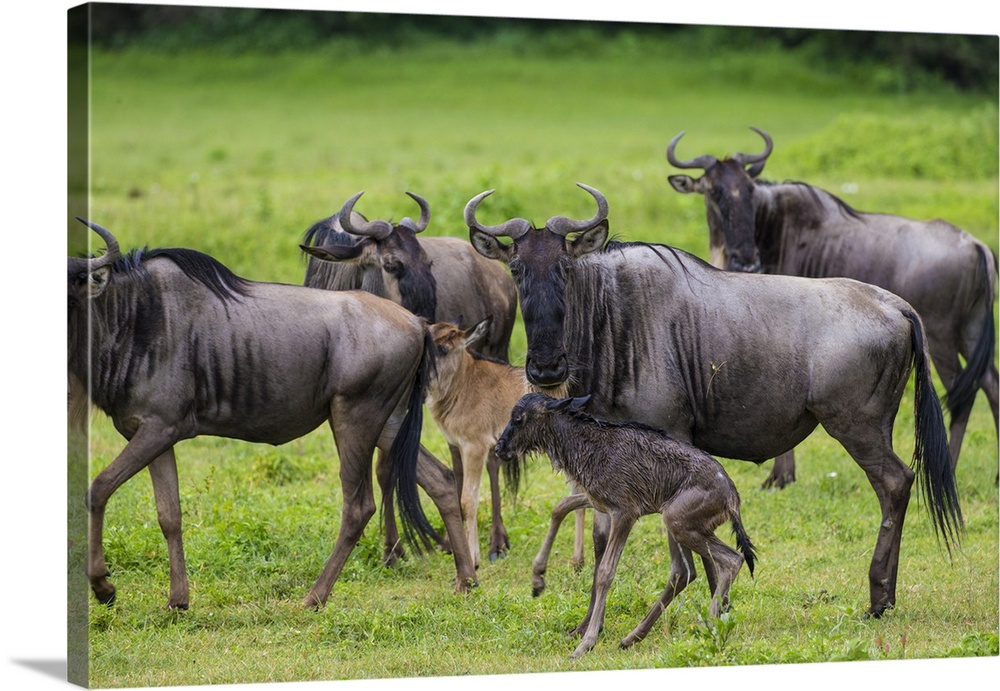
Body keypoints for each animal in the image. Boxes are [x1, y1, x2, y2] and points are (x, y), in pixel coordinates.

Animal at [496, 394, 752, 660]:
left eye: (518, 418)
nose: (499, 448)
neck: (584, 445)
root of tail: (732, 497)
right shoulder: (599, 500)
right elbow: (560, 506)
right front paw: (538, 578)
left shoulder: (625, 512)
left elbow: (605, 572)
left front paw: (586, 642)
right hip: (677, 522)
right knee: (684, 571)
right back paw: (633, 637)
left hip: (677, 521)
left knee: (730, 559)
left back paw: (708, 627)